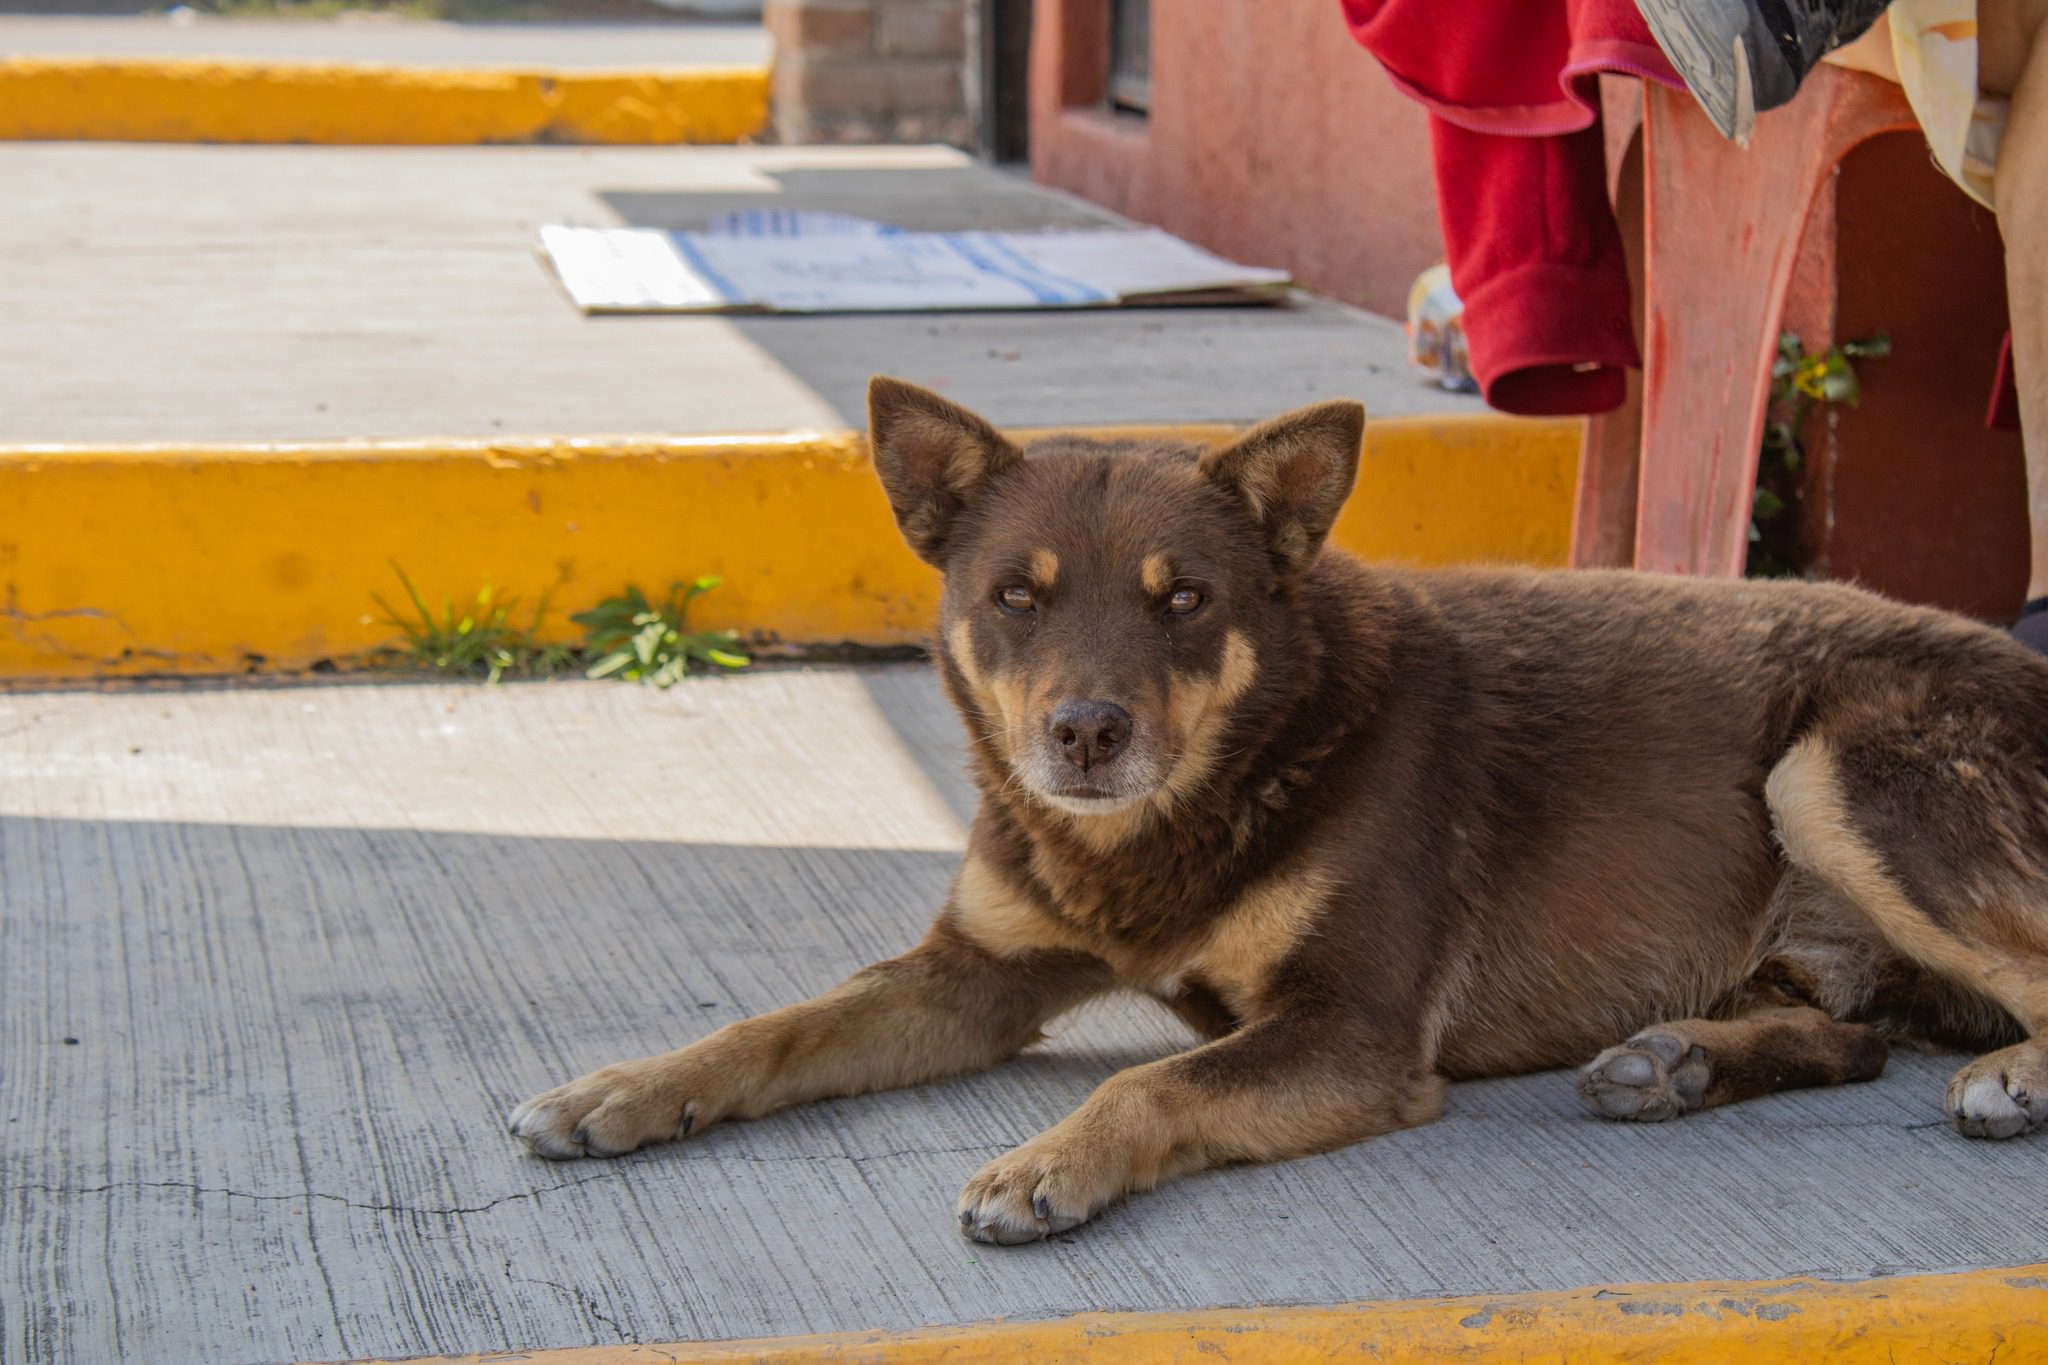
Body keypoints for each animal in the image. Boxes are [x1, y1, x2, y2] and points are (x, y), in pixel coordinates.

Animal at [516, 378, 2048, 1244]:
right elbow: (776, 1027)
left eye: (1184, 598)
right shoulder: (975, 976)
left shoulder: (1351, 1029)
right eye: (1016, 595)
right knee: (1857, 1035)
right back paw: (1677, 1060)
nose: (1085, 733)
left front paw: (1052, 1161)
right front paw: (626, 1088)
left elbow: (1152, 1078)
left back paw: (2008, 1078)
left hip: (1833, 769)